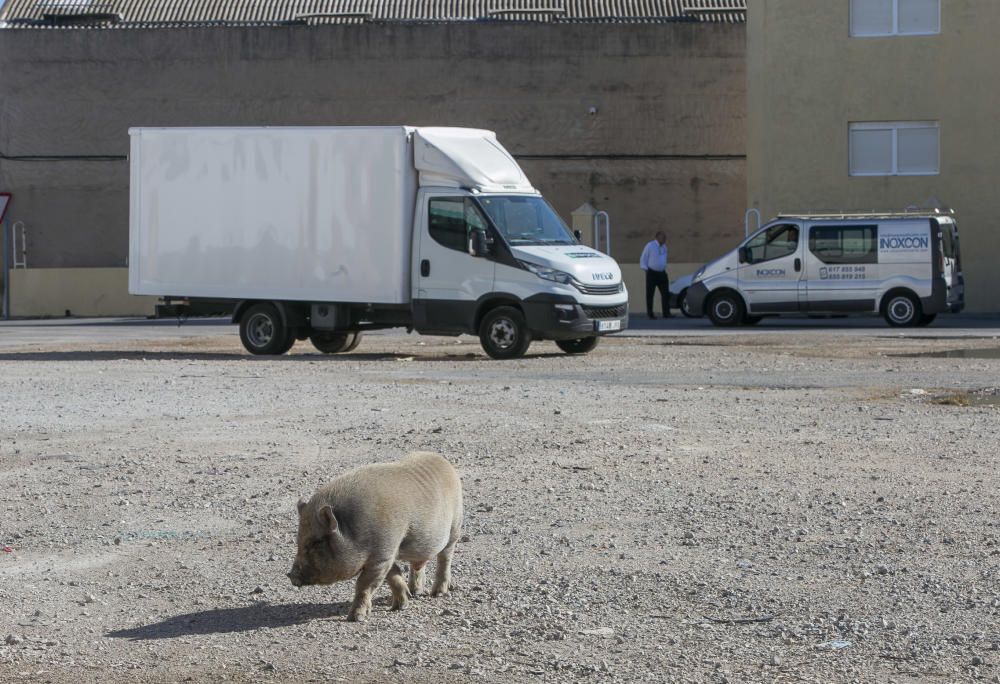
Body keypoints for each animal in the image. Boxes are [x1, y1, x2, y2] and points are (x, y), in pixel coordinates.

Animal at [288, 452, 462, 624]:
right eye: (298, 540)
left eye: (317, 542)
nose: (290, 575)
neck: (353, 530)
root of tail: (445, 463)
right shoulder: (388, 555)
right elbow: (393, 575)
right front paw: (399, 606)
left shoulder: (382, 555)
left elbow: (363, 585)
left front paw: (355, 618)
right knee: (418, 565)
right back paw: (415, 592)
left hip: (455, 527)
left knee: (445, 557)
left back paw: (437, 593)